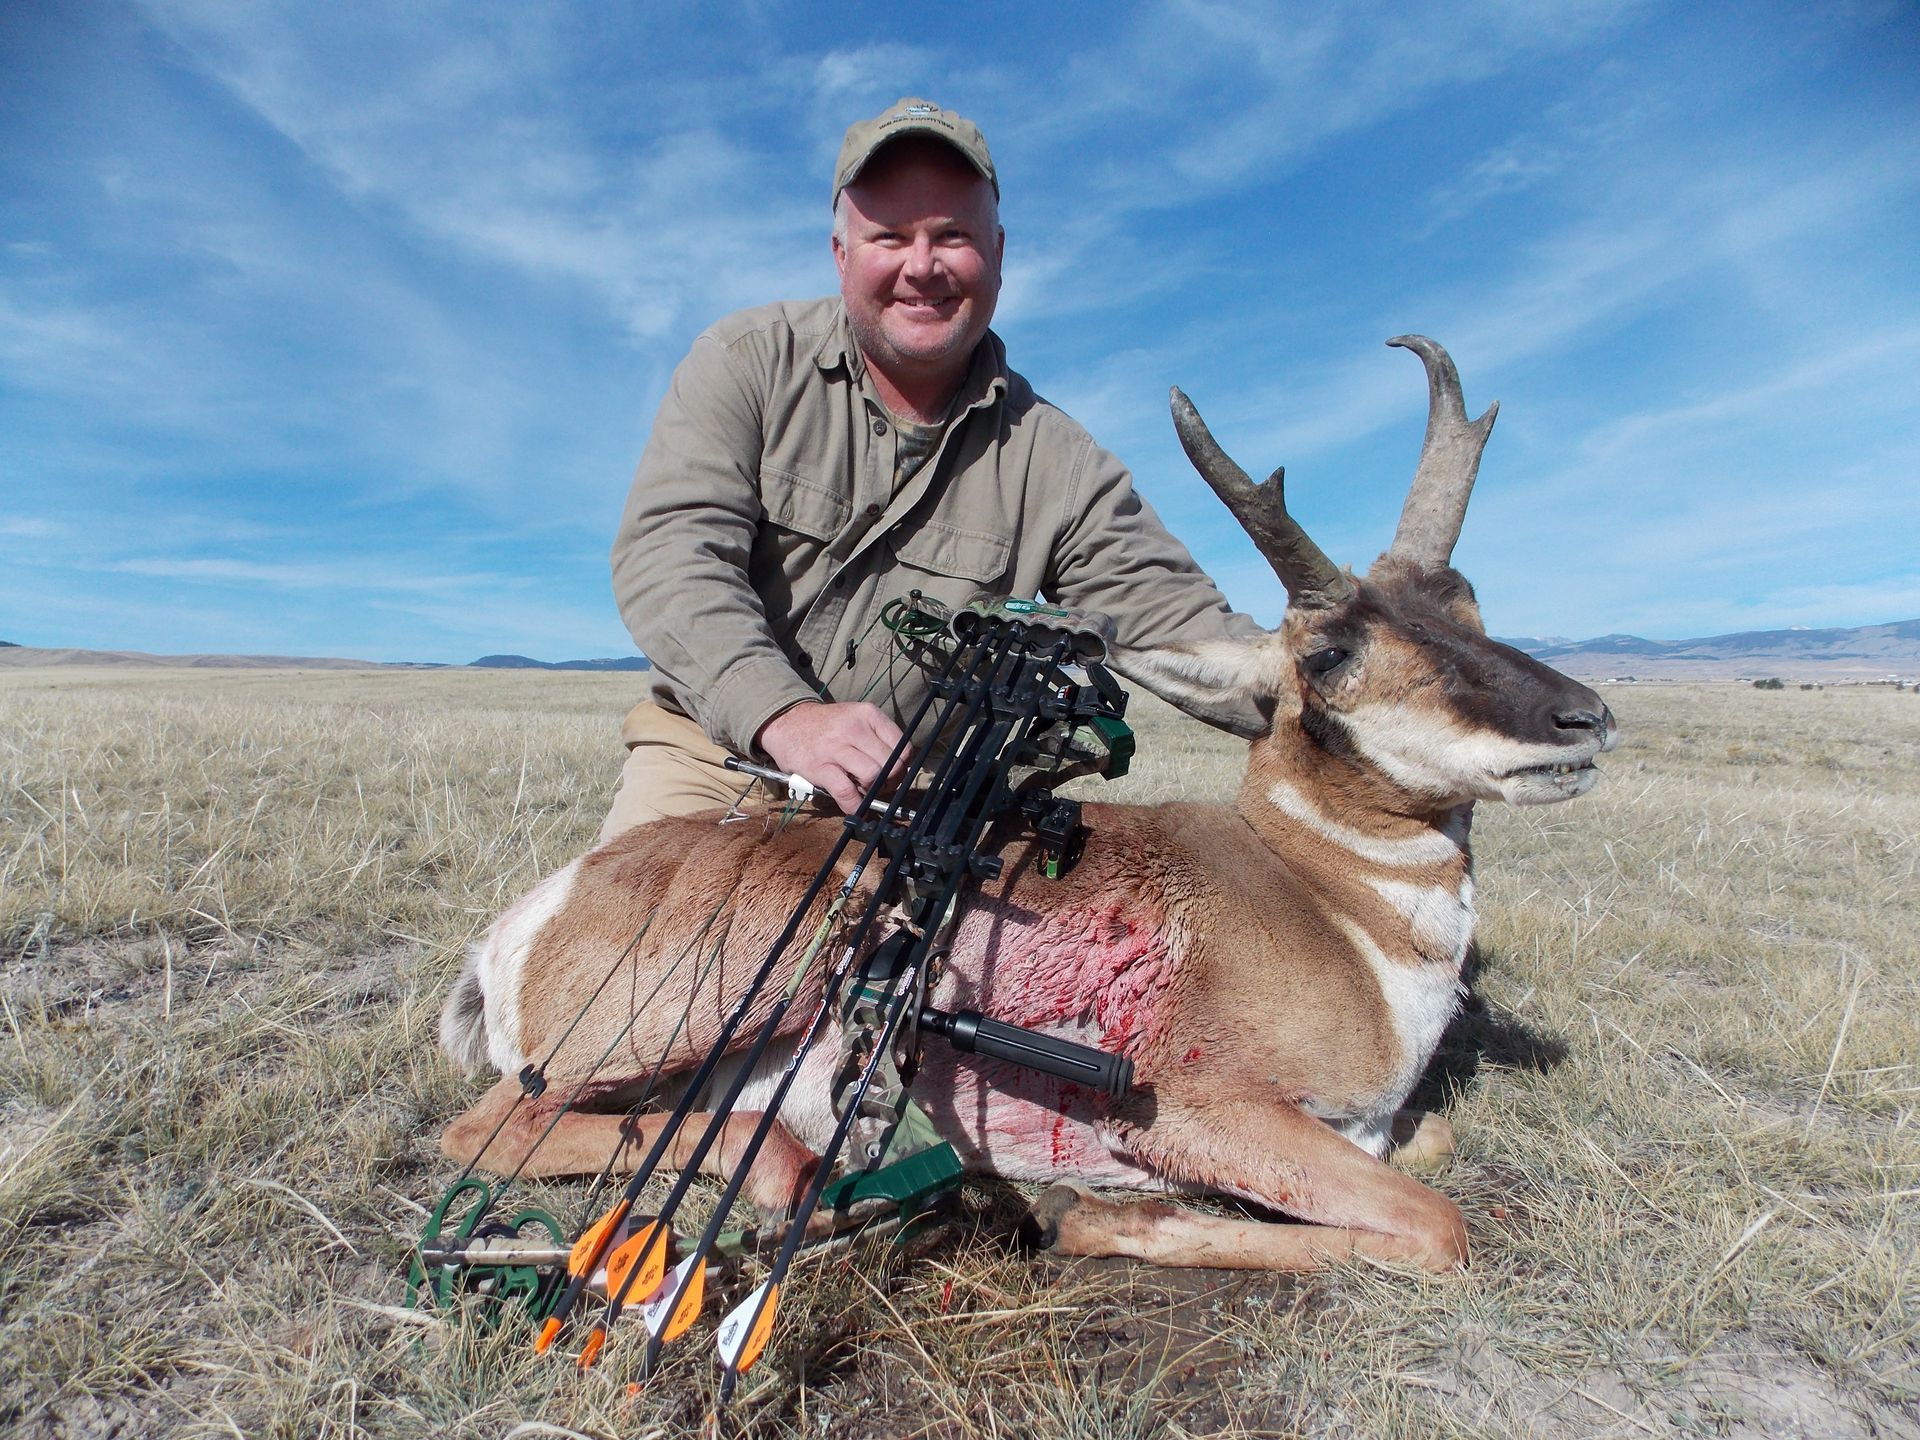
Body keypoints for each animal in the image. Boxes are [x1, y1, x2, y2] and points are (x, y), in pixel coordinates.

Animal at [439, 336, 1617, 1273]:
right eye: (1328, 653)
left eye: (1468, 605)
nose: (1586, 718)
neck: (1328, 905)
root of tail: (528, 917)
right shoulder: (1203, 1109)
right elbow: (1437, 1225)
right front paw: (1089, 1213)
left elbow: (1432, 1157)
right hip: (714, 1005)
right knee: (500, 1128)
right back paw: (791, 1170)